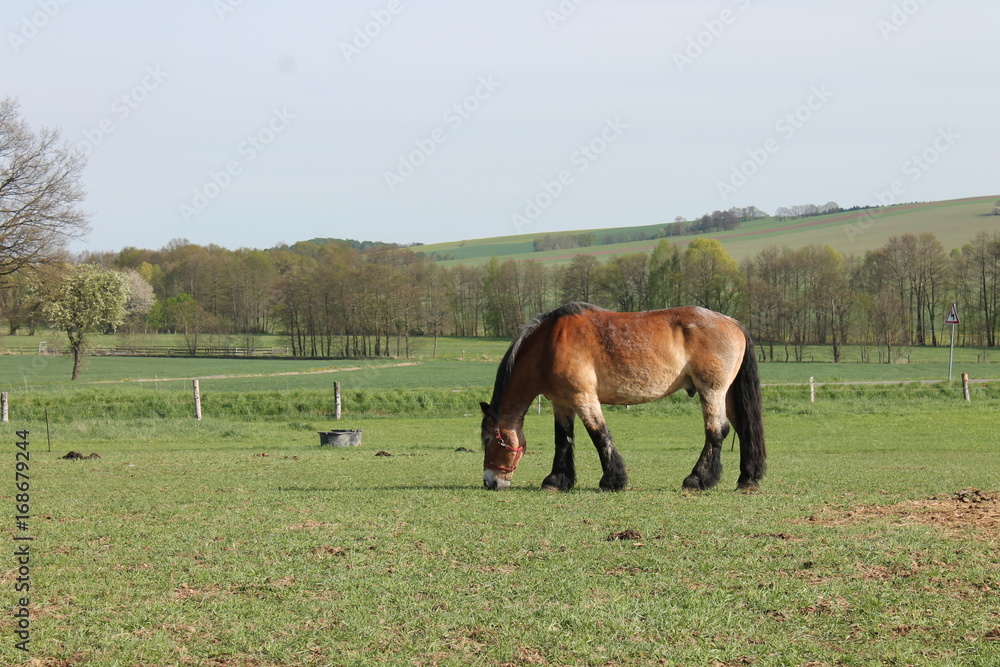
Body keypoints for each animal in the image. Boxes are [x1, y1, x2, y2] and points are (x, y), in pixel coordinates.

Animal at [480, 302, 766, 492]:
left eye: (488, 439)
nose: (489, 481)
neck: (549, 344)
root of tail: (732, 322)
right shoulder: (562, 403)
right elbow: (563, 439)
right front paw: (557, 480)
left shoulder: (584, 398)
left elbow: (599, 435)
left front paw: (612, 480)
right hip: (726, 394)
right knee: (743, 428)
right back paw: (747, 479)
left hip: (712, 391)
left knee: (716, 431)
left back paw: (697, 479)